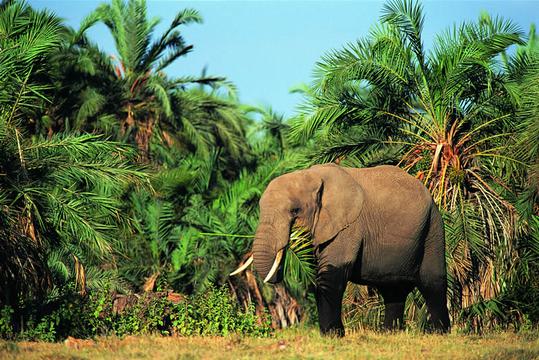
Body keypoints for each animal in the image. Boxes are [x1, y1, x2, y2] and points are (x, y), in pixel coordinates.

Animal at [231, 164, 452, 338]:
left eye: (295, 211)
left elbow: (331, 275)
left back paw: (439, 332)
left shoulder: (348, 226)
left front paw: (333, 335)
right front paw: (328, 334)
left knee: (432, 281)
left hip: (433, 225)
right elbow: (317, 275)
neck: (311, 176)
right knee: (392, 289)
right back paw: (390, 333)